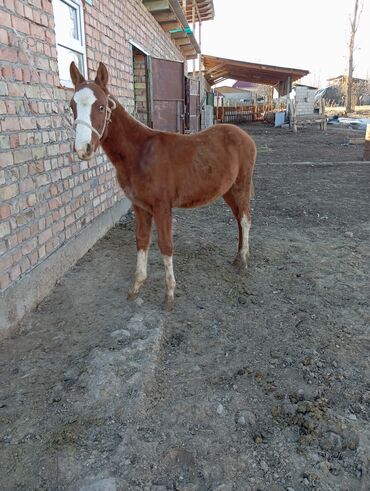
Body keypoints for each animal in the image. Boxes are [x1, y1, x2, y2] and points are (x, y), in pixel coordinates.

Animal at [68, 62, 254, 308]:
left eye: (100, 106)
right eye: (71, 106)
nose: (83, 149)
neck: (140, 153)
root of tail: (245, 136)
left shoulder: (162, 206)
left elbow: (166, 245)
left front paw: (169, 295)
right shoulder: (140, 206)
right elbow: (141, 241)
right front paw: (136, 286)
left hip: (242, 185)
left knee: (245, 218)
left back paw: (242, 261)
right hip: (228, 190)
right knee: (239, 218)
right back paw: (238, 257)